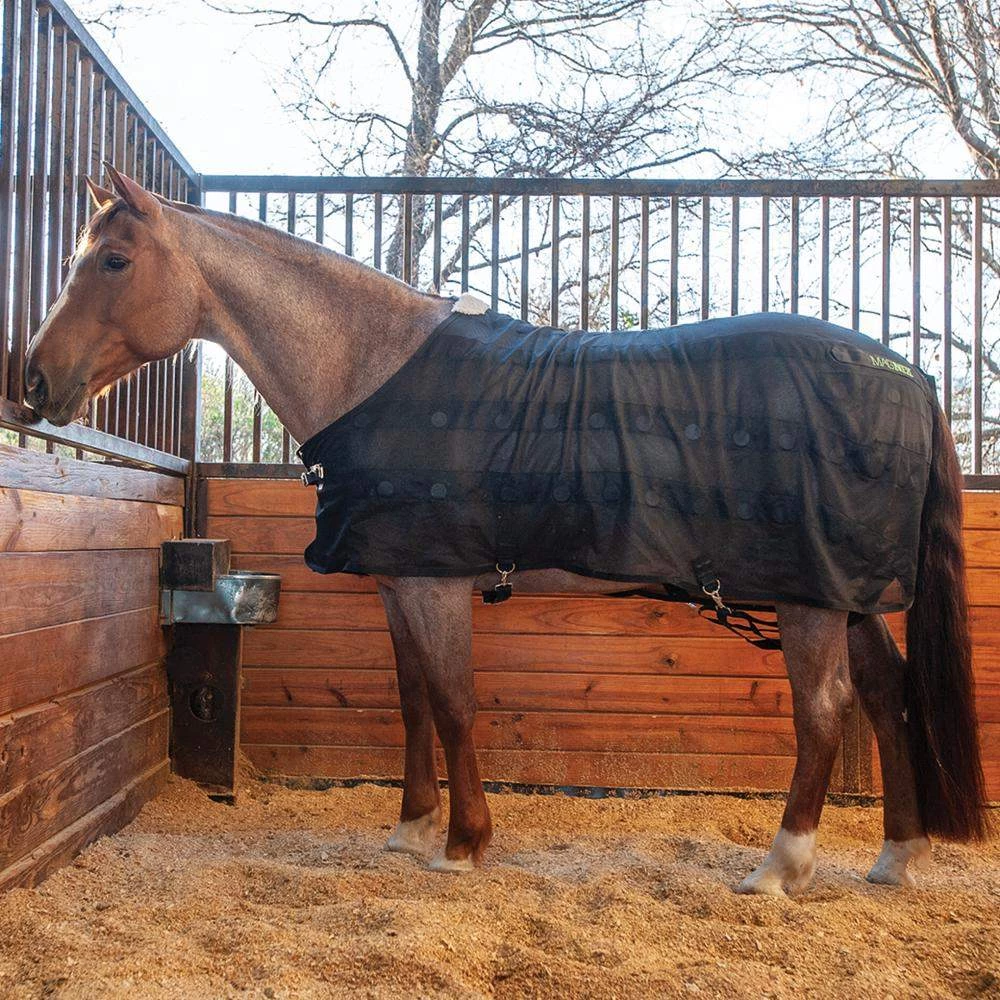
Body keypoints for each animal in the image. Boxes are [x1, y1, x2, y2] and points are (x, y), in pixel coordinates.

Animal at [23, 166, 989, 894]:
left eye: (113, 260)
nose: (32, 380)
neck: (372, 367)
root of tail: (909, 376)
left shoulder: (436, 580)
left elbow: (453, 700)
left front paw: (464, 845)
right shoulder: (399, 579)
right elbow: (415, 699)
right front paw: (412, 832)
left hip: (810, 597)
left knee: (826, 711)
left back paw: (780, 868)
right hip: (846, 593)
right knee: (889, 696)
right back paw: (895, 856)